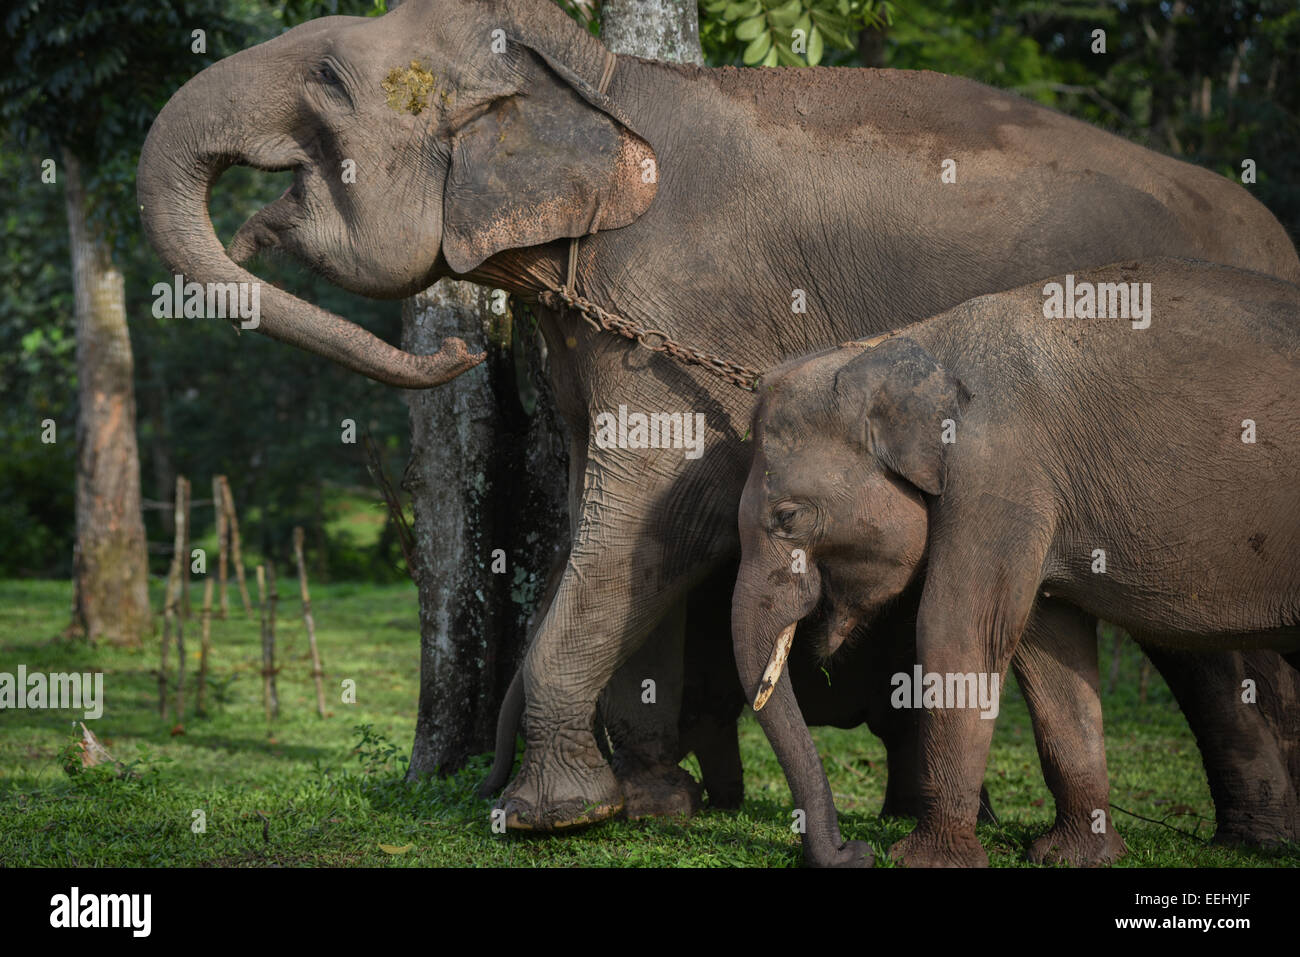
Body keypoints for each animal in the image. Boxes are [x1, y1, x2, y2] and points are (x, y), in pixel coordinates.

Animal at [733, 260, 1300, 868]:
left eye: (788, 517)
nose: (852, 848)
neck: (908, 345)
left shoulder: (999, 474)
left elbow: (959, 632)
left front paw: (924, 859)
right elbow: (1048, 650)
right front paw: (1071, 856)